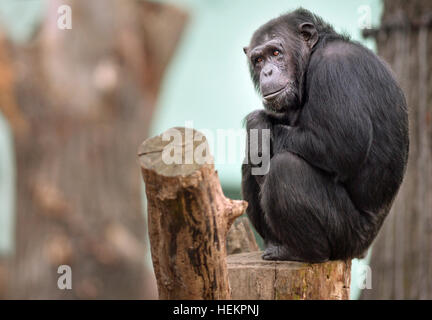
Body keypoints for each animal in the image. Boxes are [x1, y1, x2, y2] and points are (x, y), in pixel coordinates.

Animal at [243, 8, 408, 262]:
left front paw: (257, 124)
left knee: (286, 168)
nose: (267, 71)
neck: (312, 56)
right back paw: (274, 244)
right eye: (258, 60)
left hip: (346, 237)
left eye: (276, 53)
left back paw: (300, 251)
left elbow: (342, 145)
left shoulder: (335, 68)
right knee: (250, 163)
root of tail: (362, 250)